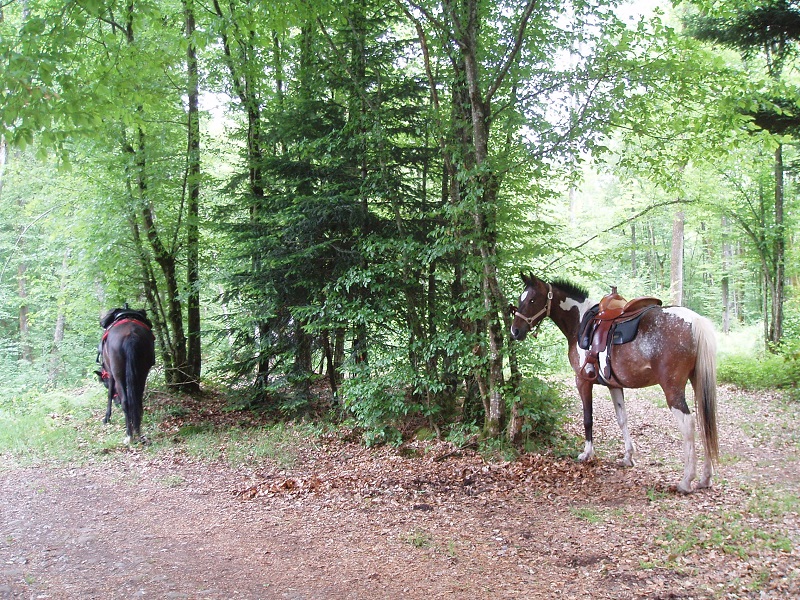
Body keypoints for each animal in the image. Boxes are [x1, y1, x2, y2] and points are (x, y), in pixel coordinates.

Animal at [96, 308, 155, 442]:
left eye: (104, 384)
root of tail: (131, 335)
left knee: (126, 401)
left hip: (118, 374)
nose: (116, 402)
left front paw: (107, 417)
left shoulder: (111, 374)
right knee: (137, 399)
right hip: (143, 372)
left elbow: (109, 394)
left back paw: (129, 434)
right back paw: (137, 430)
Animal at [512, 274, 720, 494]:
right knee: (704, 422)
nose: (514, 331)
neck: (580, 321)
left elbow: (588, 418)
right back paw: (706, 477)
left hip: (672, 389)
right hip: (697, 382)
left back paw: (686, 480)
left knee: (688, 424)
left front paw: (587, 453)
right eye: (520, 298)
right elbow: (622, 419)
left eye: (532, 300)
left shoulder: (582, 380)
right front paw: (628, 456)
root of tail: (695, 321)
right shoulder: (614, 385)